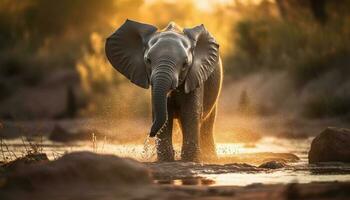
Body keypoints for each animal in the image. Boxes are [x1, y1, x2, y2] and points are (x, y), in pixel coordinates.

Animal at [105, 19, 223, 162]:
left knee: (207, 122)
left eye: (185, 64)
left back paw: (209, 158)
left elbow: (190, 113)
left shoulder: (195, 75)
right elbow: (164, 113)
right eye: (148, 60)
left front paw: (189, 160)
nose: (150, 133)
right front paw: (166, 160)